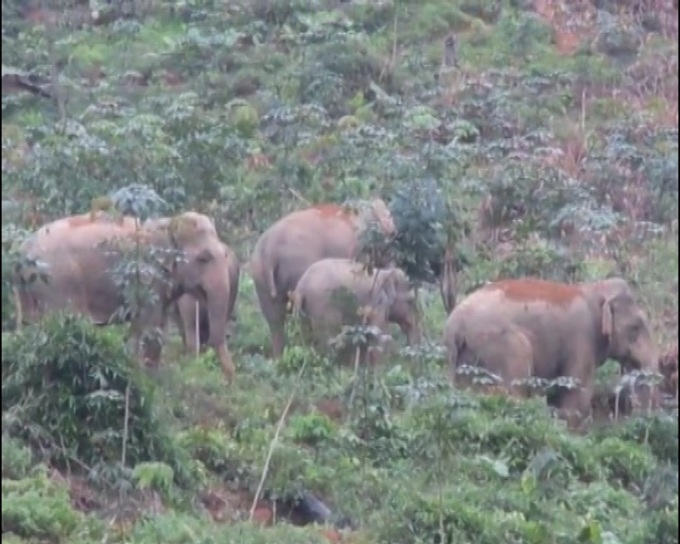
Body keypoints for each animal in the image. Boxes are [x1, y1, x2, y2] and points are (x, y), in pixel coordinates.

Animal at [13, 210, 236, 380]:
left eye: (226, 255)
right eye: (204, 258)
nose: (229, 377)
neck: (168, 223)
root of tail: (24, 250)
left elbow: (158, 326)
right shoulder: (147, 277)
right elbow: (148, 324)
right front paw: (143, 375)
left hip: (27, 288)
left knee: (27, 324)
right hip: (58, 281)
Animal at [249, 199, 396, 359]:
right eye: (391, 234)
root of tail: (268, 250)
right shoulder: (360, 249)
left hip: (260, 277)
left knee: (275, 319)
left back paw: (279, 357)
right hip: (296, 266)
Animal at [292, 258, 421, 365]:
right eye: (411, 301)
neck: (385, 273)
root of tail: (301, 288)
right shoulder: (378, 303)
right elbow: (378, 334)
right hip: (323, 307)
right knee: (329, 340)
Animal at [443, 277, 659, 424]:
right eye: (636, 327)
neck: (595, 288)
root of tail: (455, 326)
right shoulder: (581, 338)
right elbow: (576, 392)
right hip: (502, 345)